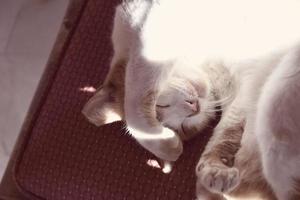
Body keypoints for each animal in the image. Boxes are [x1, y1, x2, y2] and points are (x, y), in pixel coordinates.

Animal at [82, 0, 300, 199]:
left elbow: (135, 100)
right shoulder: (243, 92)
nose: (193, 107)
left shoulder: (147, 25)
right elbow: (224, 135)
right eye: (185, 127)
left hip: (277, 99)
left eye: (161, 104)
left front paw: (168, 146)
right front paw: (214, 172)